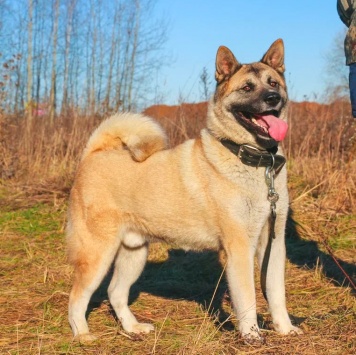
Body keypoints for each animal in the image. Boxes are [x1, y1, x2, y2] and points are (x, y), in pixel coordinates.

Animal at [67, 39, 304, 344]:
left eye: (273, 82)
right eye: (247, 88)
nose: (273, 98)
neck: (256, 163)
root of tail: (93, 154)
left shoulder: (272, 244)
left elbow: (276, 293)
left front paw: (285, 329)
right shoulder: (240, 247)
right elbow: (248, 297)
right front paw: (252, 336)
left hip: (134, 253)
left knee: (115, 293)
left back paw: (133, 328)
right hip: (98, 253)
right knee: (77, 297)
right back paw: (83, 335)